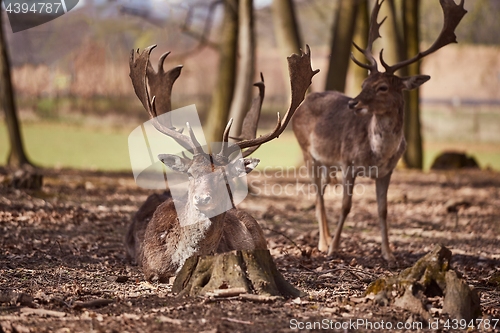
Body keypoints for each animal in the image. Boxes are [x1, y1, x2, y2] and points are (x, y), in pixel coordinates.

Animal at [292, 0, 466, 260]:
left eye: (382, 87)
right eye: (364, 83)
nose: (353, 103)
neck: (377, 153)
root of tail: (300, 105)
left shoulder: (386, 171)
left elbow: (383, 209)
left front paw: (389, 254)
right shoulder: (348, 162)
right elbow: (346, 206)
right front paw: (334, 249)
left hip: (327, 162)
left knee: (321, 189)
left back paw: (325, 238)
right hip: (307, 152)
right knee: (318, 193)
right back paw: (324, 243)